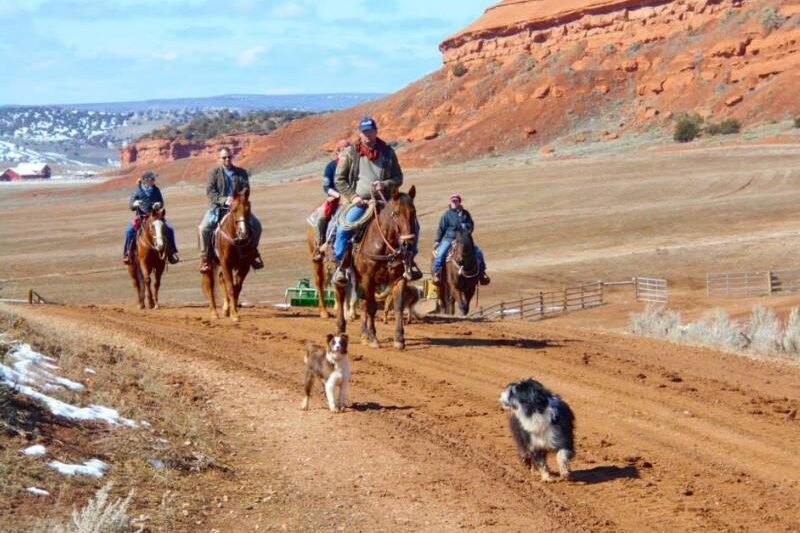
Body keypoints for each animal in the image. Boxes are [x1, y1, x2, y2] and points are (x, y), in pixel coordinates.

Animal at [200, 188, 256, 320]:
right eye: (234, 209)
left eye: (248, 208)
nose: (243, 233)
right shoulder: (226, 263)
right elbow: (230, 287)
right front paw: (234, 314)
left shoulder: (244, 265)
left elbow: (236, 288)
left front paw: (232, 311)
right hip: (209, 263)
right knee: (210, 284)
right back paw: (214, 312)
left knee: (221, 279)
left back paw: (225, 309)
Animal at [332, 185, 418, 352]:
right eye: (396, 213)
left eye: (413, 212)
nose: (408, 243)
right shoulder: (368, 279)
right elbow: (372, 307)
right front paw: (373, 338)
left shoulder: (399, 278)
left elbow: (398, 306)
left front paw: (399, 339)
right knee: (340, 295)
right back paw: (340, 328)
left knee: (363, 303)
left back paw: (363, 335)